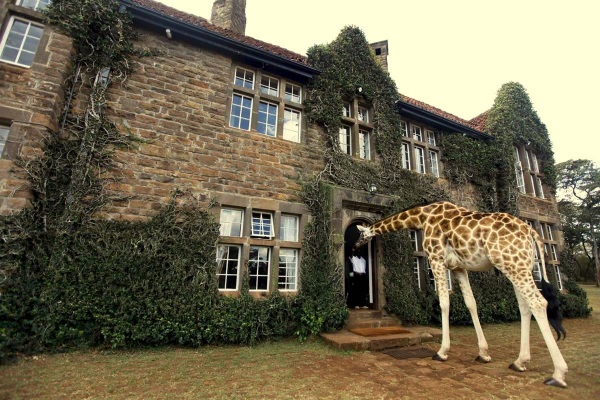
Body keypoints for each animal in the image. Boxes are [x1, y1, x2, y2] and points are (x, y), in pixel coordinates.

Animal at [354, 200, 568, 388]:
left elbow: (444, 303)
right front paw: (483, 353)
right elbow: (471, 303)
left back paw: (558, 374)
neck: (422, 216)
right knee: (525, 306)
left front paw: (442, 352)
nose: (355, 246)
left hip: (513, 264)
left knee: (538, 302)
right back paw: (519, 362)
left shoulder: (436, 259)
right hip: (518, 266)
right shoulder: (458, 267)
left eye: (361, 235)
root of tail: (532, 231)